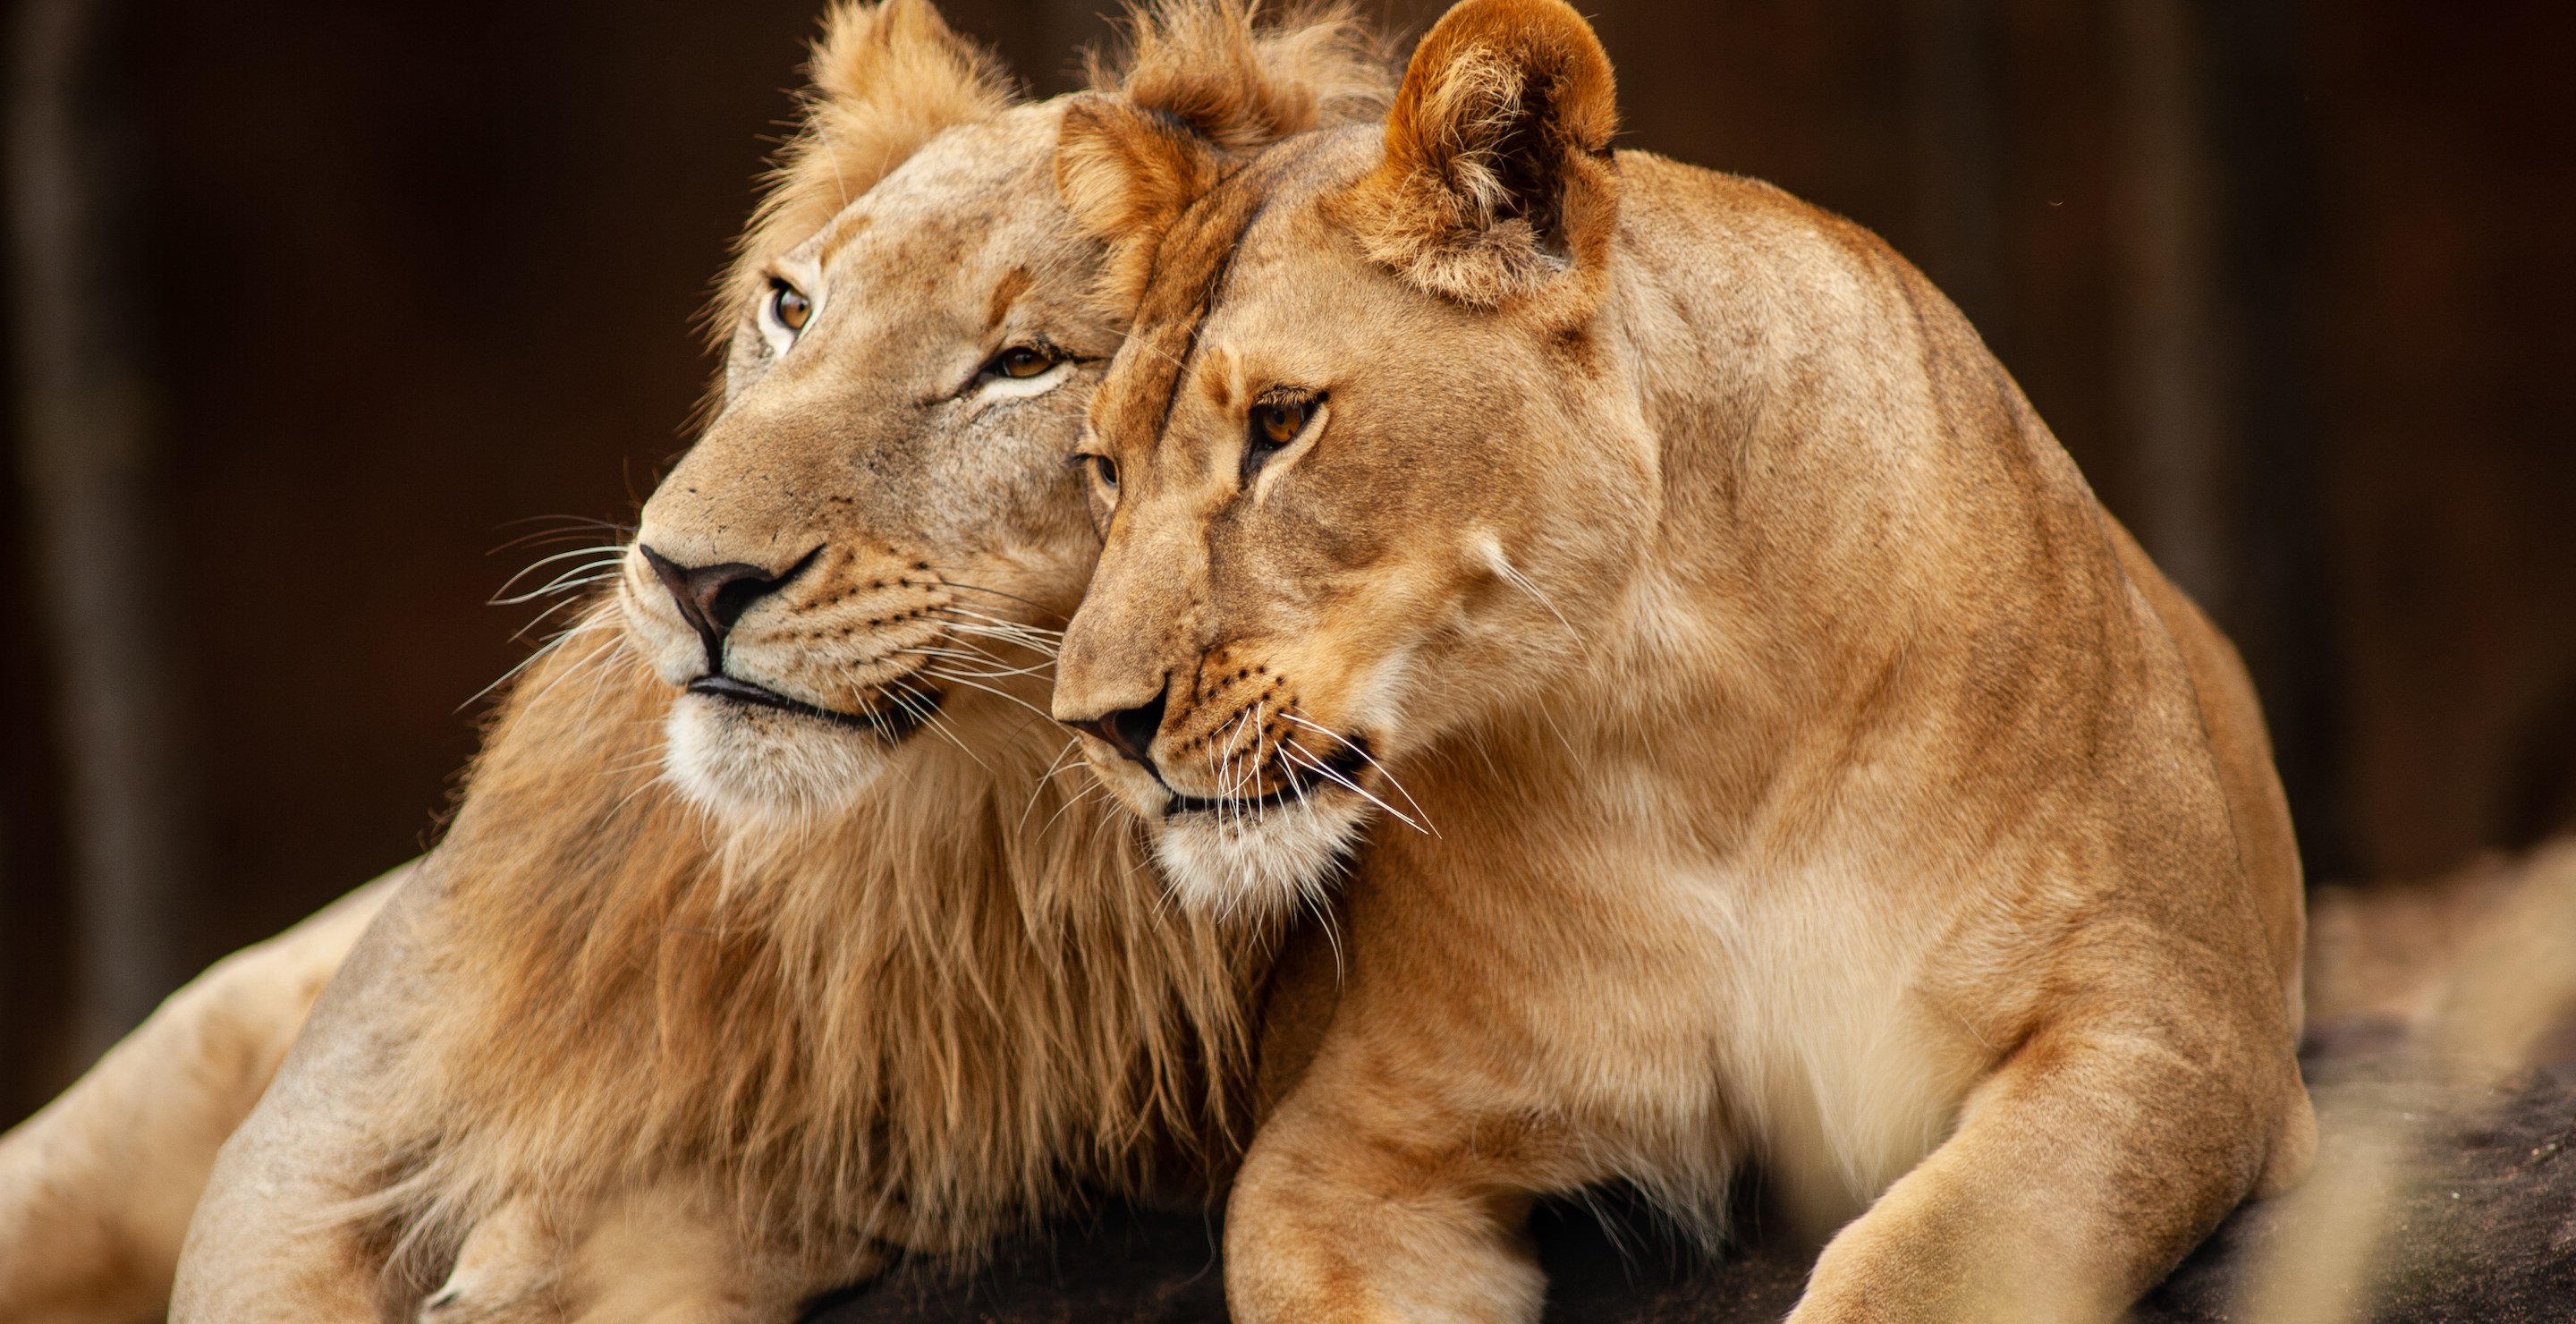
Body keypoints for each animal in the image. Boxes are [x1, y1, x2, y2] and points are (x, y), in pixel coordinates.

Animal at [163, 4, 1386, 1320]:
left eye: (1025, 365)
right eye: (793, 307)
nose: (690, 578)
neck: (936, 848)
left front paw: (545, 1255)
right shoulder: (307, 1135)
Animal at [1045, 0, 2317, 1319]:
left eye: (1284, 422)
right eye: (1104, 468)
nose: (1092, 723)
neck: (1678, 724)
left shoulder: (2173, 1026)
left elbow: (1926, 1255)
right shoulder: (1345, 1152)